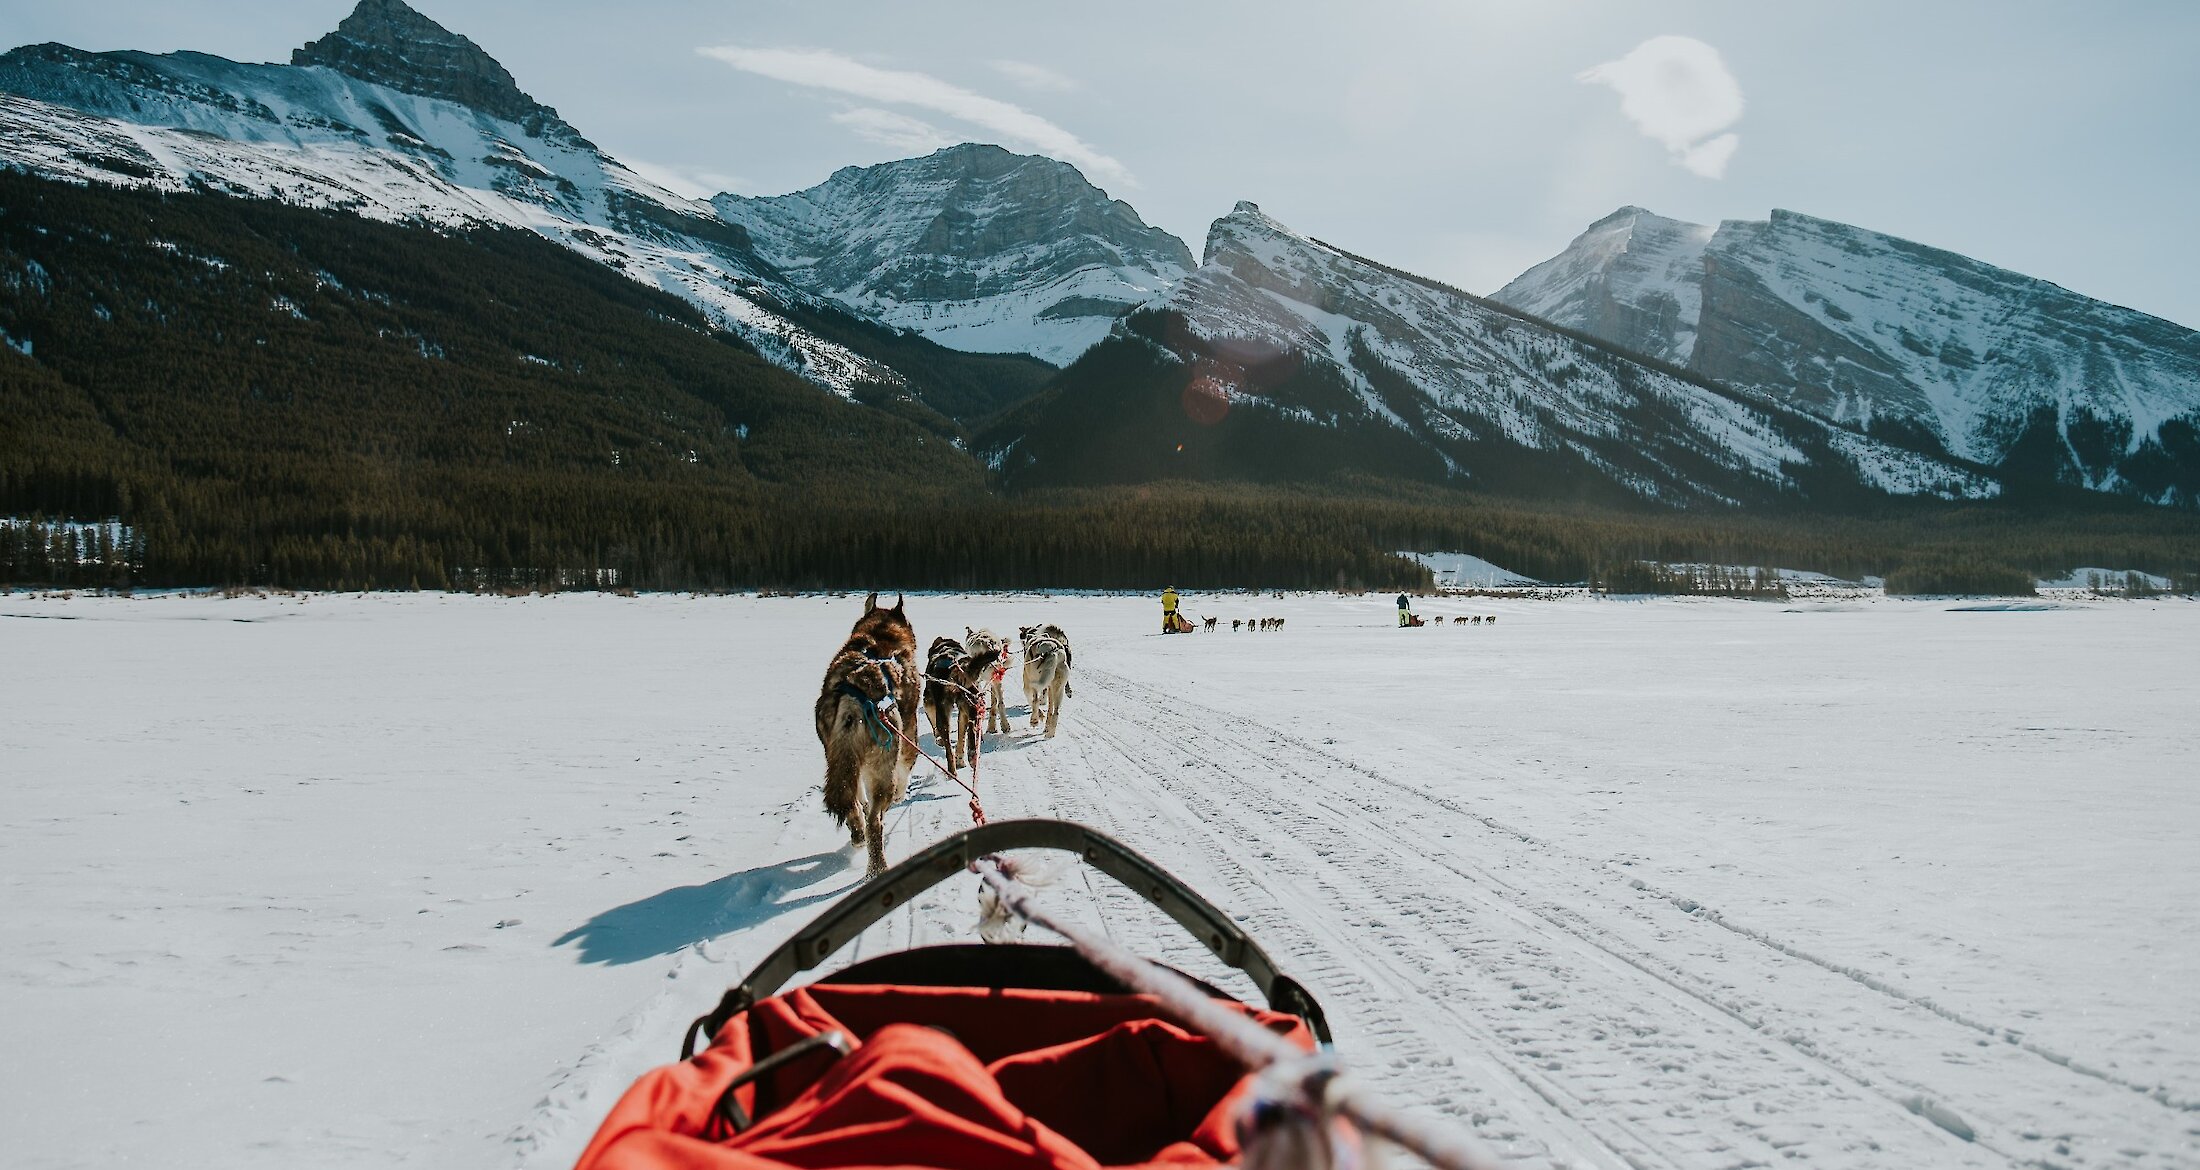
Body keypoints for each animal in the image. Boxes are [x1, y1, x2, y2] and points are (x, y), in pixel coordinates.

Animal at [818, 593, 919, 879]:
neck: (880, 635)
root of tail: (856, 696)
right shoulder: (910, 731)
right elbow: (906, 766)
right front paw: (901, 794)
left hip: (838, 757)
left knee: (852, 802)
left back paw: (857, 835)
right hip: (885, 760)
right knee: (875, 820)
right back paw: (877, 867)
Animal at [924, 633, 1003, 774]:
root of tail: (957, 667)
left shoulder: (928, 702)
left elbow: (933, 722)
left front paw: (938, 739)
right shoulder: (963, 712)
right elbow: (962, 736)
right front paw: (960, 759)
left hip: (943, 710)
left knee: (948, 747)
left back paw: (951, 772)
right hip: (972, 704)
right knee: (971, 729)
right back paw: (972, 756)